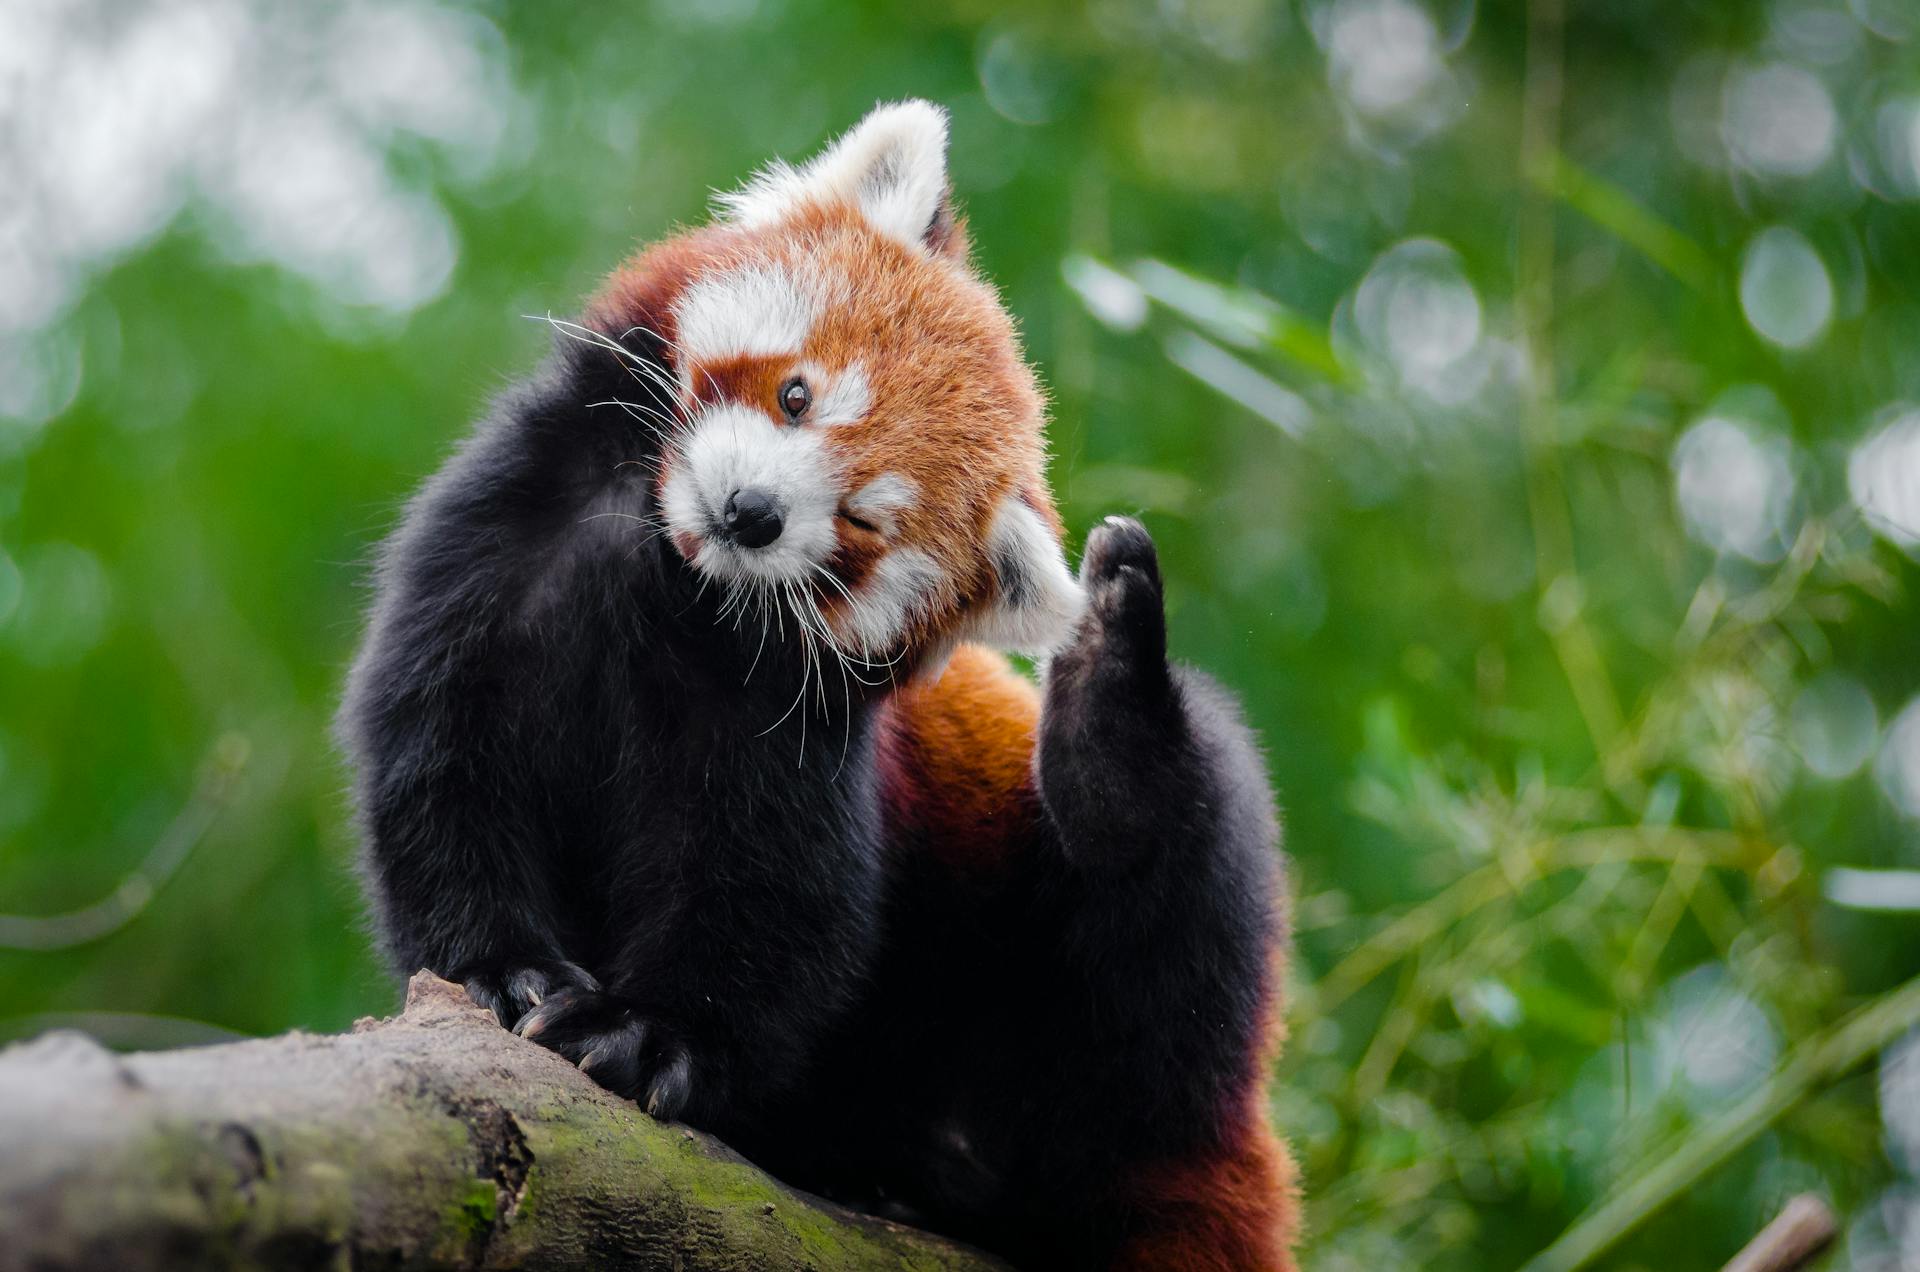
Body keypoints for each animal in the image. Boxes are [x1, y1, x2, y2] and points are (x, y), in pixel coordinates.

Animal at [343, 102, 1297, 1272]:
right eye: (797, 395)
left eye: (863, 521)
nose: (752, 513)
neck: (670, 576)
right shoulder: (499, 557)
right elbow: (443, 766)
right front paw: (499, 970)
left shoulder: (786, 721)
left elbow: (768, 895)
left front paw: (647, 1035)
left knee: (1176, 933)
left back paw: (1109, 715)